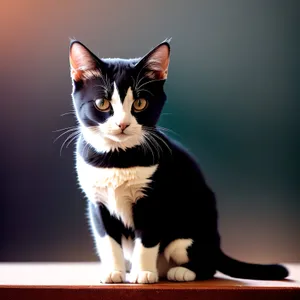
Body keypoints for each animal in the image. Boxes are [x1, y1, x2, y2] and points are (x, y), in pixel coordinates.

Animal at [68, 38, 288, 282]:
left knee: (206, 264)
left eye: (140, 103)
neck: (118, 158)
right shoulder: (98, 203)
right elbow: (108, 240)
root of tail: (217, 246)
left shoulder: (155, 198)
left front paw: (143, 273)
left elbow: (147, 239)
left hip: (188, 232)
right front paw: (113, 272)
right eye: (102, 103)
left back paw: (181, 272)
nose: (122, 124)